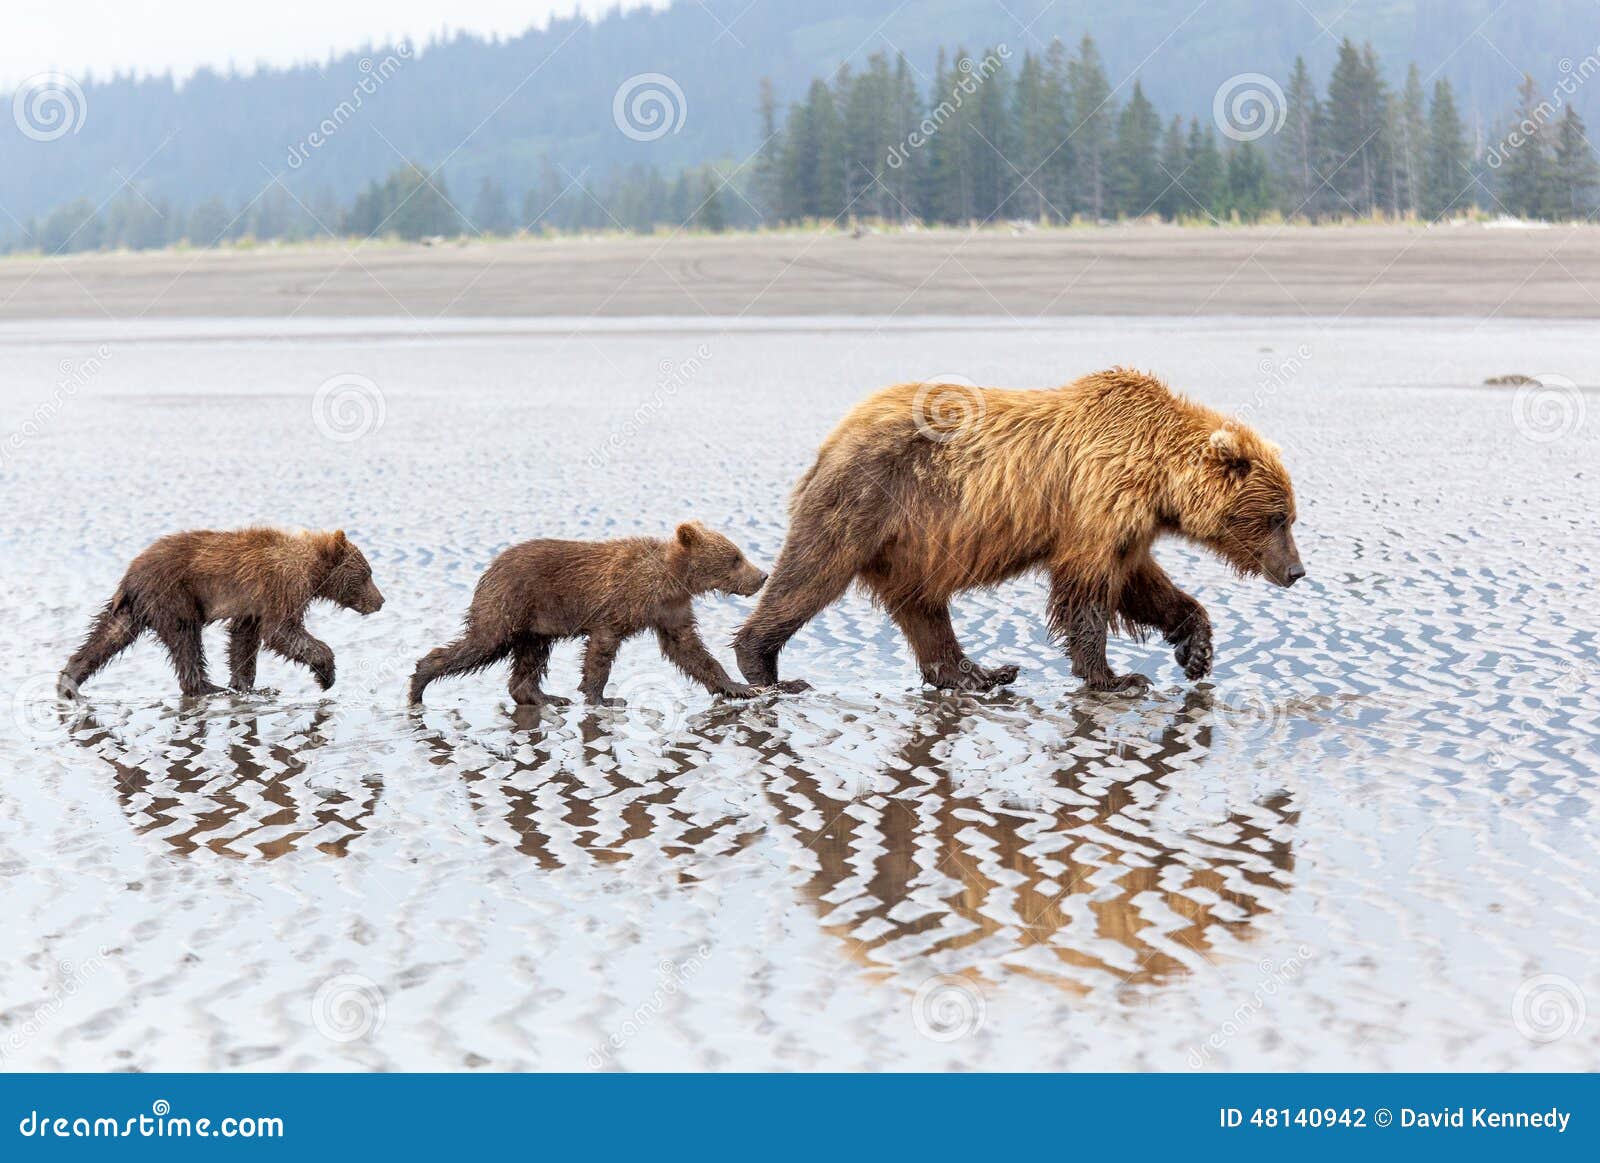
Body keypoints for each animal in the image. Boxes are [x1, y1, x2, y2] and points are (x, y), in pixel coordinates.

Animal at [732, 371, 1299, 691]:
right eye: (1278, 518)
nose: (1296, 570)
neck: (1156, 479)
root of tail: (834, 436)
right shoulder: (1096, 500)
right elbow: (1088, 589)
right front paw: (1116, 676)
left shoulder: (1129, 524)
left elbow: (1142, 585)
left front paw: (1196, 651)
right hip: (867, 500)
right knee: (811, 572)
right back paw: (763, 665)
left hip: (911, 541)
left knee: (921, 605)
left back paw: (977, 673)